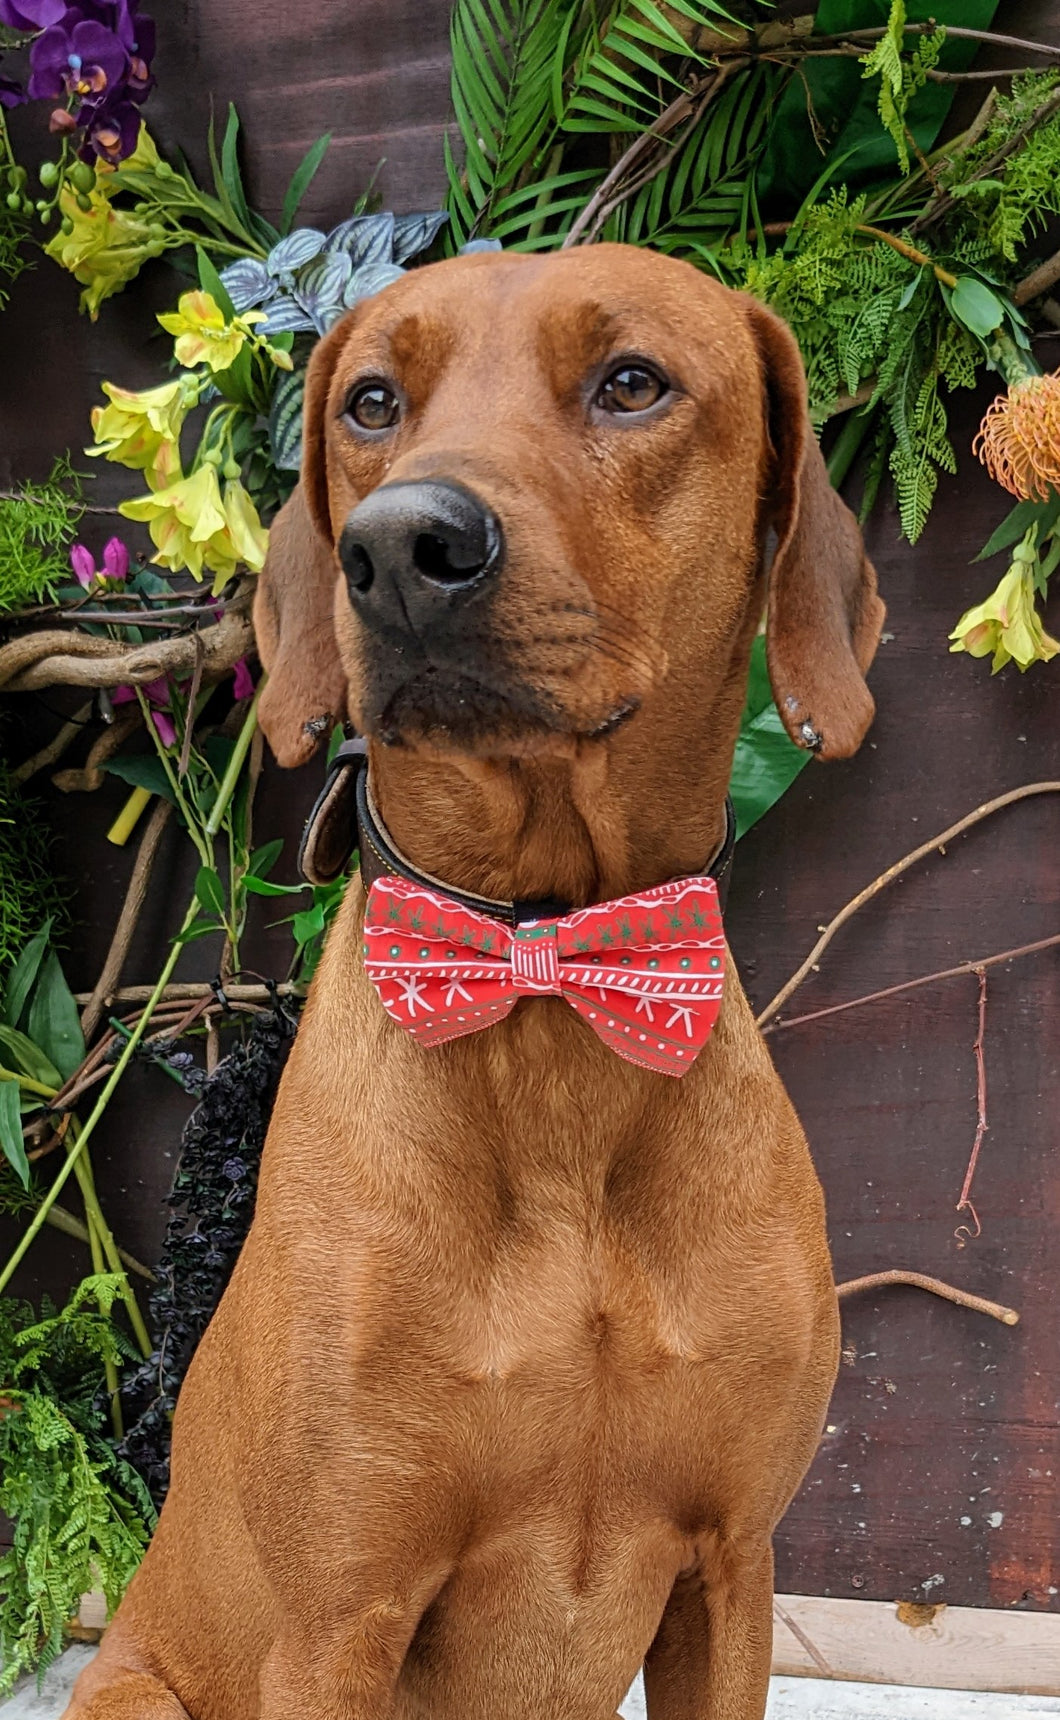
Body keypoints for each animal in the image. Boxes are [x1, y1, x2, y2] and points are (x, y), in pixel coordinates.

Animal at [64, 249, 877, 1720]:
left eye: (632, 382)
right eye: (373, 401)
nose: (398, 549)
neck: (539, 961)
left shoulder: (732, 1567)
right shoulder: (335, 1621)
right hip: (140, 1686)